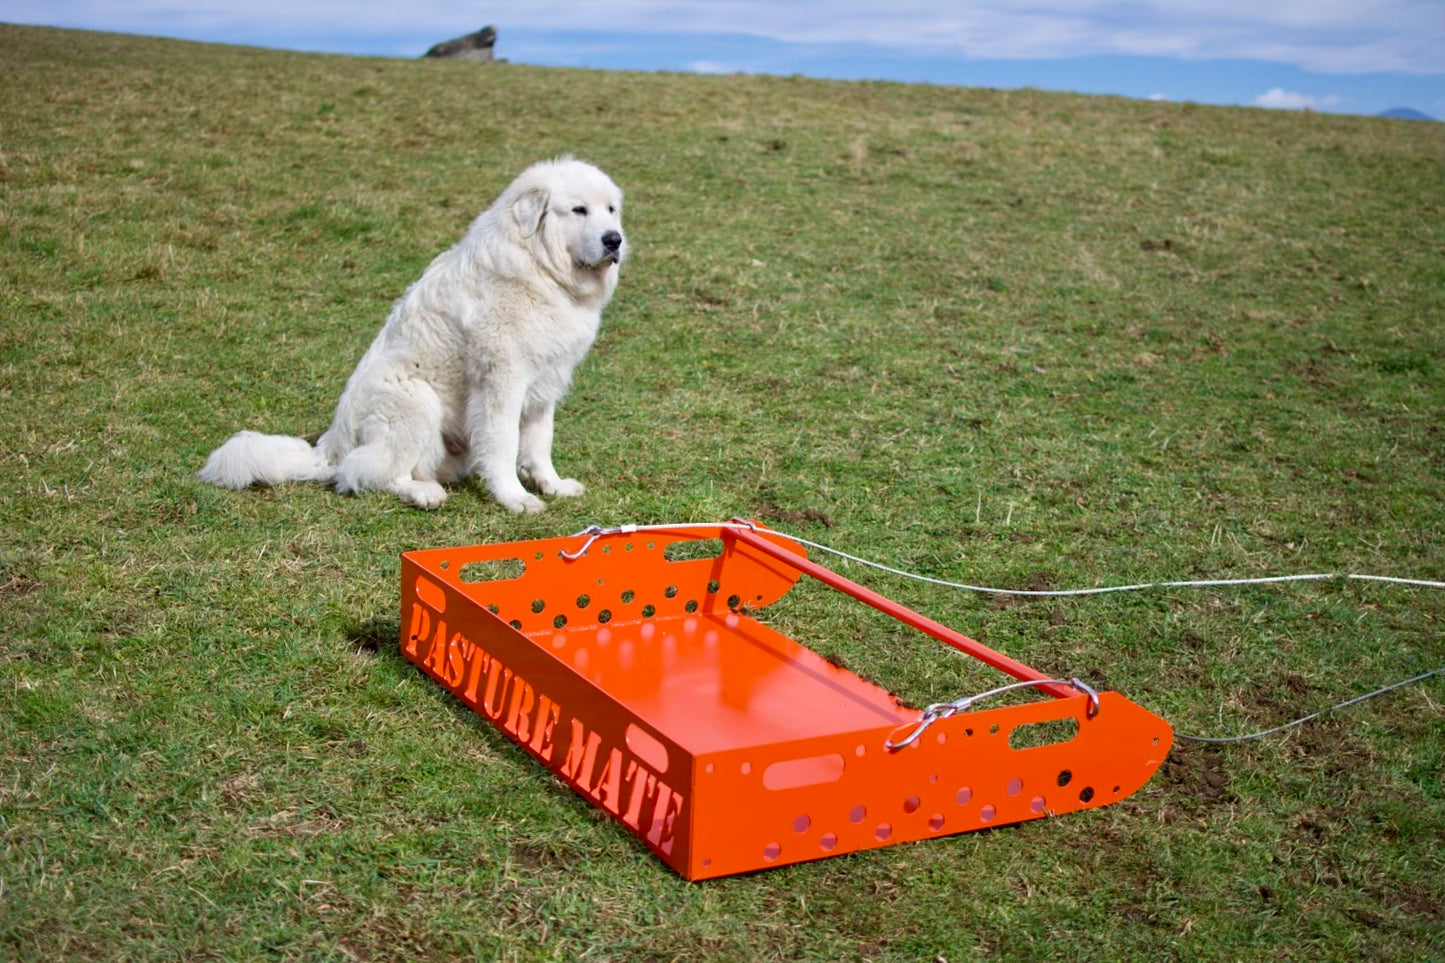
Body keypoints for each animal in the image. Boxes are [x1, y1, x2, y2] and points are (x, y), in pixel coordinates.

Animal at [195, 158, 624, 514]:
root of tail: (330, 446)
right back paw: (422, 494)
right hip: (414, 399)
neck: (539, 267)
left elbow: (539, 443)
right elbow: (503, 445)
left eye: (611, 210)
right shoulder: (501, 380)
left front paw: (552, 485)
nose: (614, 239)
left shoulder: (544, 383)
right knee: (362, 472)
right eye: (578, 210)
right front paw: (515, 498)